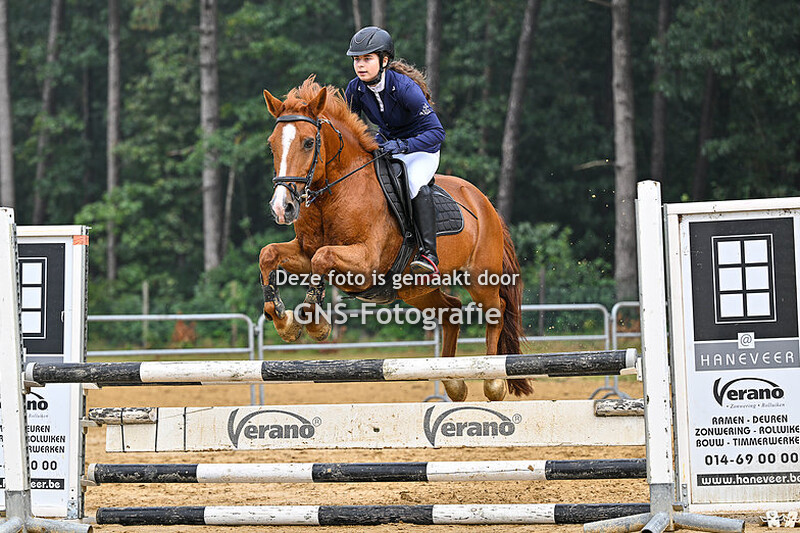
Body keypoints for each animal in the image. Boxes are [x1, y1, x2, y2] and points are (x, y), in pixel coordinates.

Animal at [258, 77, 533, 402]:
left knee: (495, 311)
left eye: (308, 143)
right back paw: (453, 382)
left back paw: (492, 381)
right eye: (272, 144)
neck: (334, 193)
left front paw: (315, 323)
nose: (282, 207)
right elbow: (269, 254)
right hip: (416, 290)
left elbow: (322, 259)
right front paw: (284, 321)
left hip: (480, 278)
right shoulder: (303, 251)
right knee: (451, 310)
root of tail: (484, 203)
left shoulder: (366, 262)